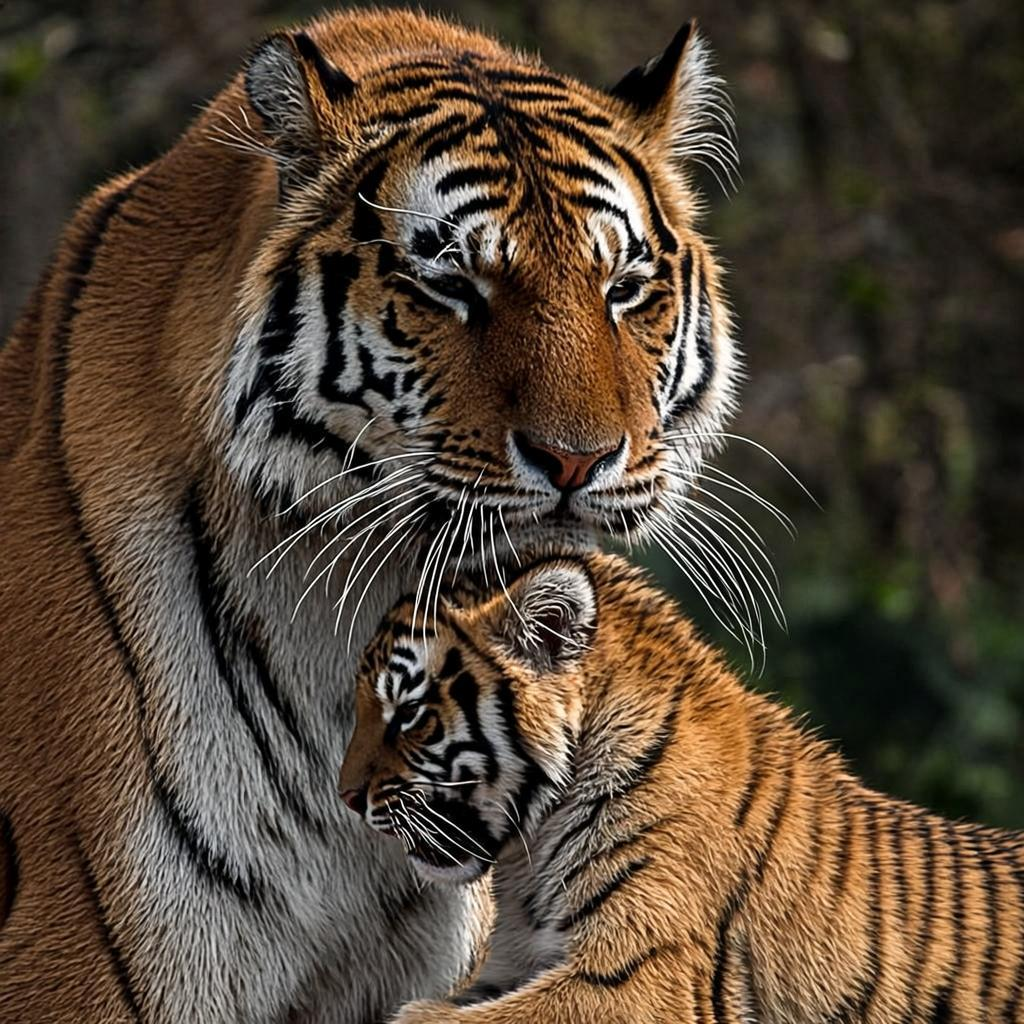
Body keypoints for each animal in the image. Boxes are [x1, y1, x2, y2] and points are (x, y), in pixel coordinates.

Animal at [340, 552, 1024, 1024]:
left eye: (410, 714)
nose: (347, 797)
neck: (524, 862)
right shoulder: (517, 965)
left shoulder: (640, 980)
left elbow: (432, 1019)